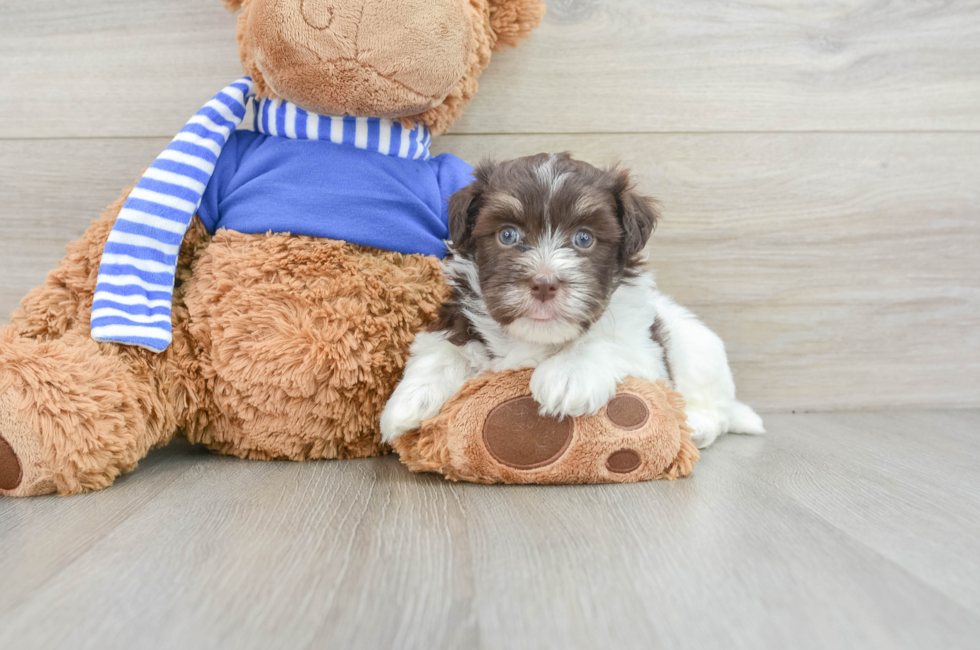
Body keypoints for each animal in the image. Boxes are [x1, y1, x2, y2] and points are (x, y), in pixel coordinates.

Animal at [378, 152, 760, 446]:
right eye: (508, 235)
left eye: (584, 238)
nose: (544, 284)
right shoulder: (459, 318)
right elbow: (442, 350)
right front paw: (409, 402)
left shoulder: (647, 357)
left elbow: (607, 341)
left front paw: (568, 374)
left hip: (699, 350)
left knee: (716, 408)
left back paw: (697, 425)